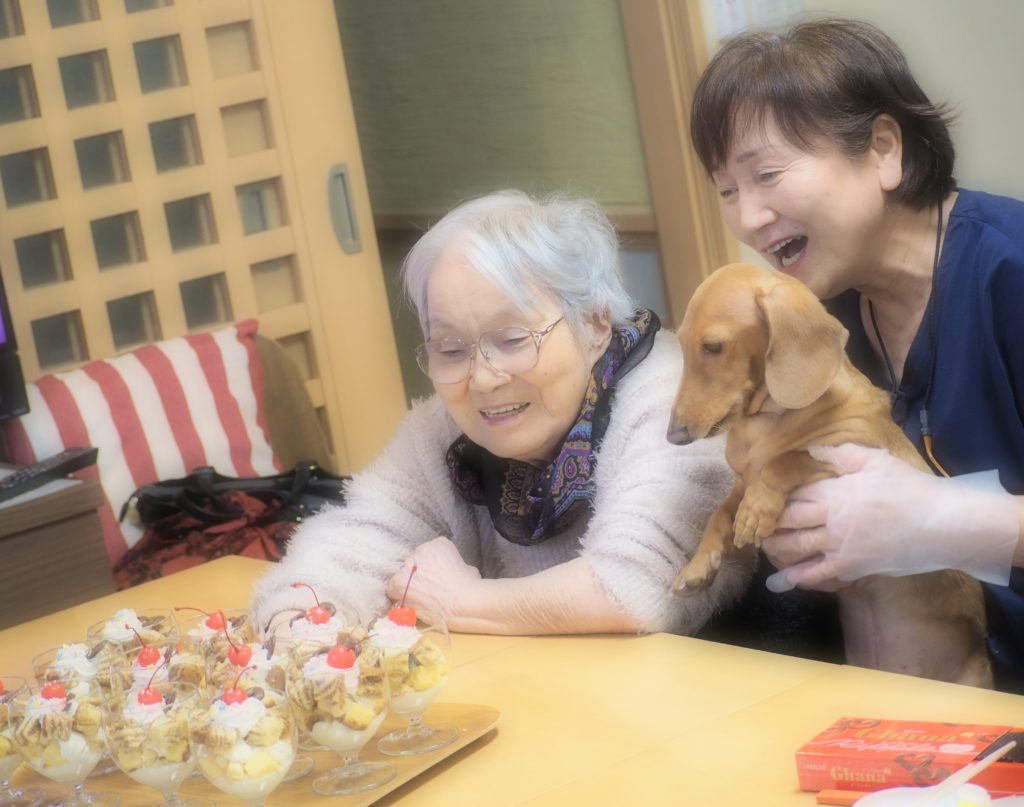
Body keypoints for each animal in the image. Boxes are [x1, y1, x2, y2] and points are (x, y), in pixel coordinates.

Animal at [667, 263, 991, 687]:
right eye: (682, 344)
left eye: (714, 347)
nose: (673, 436)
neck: (764, 423)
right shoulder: (739, 483)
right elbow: (719, 514)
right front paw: (698, 567)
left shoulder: (854, 457)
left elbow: (790, 459)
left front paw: (758, 508)